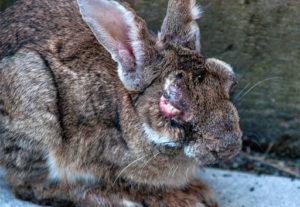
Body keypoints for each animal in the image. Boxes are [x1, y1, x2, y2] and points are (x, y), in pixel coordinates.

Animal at [0, 0, 241, 206]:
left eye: (230, 81)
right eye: (170, 105)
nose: (229, 147)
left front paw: (199, 190)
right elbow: (134, 184)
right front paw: (184, 199)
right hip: (35, 114)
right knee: (30, 186)